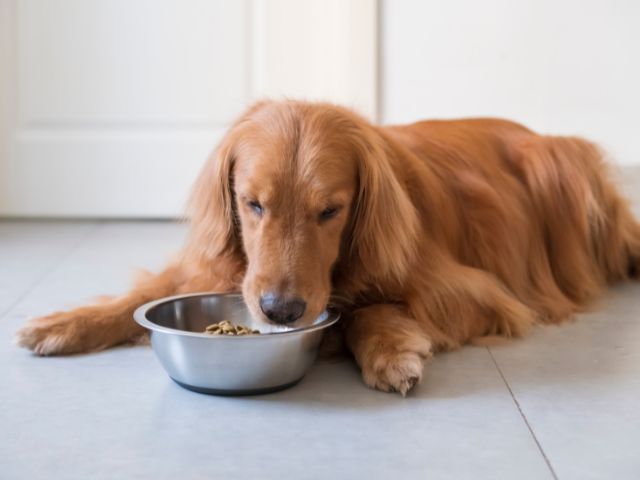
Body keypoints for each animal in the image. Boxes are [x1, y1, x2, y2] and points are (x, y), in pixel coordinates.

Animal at [16, 100, 640, 394]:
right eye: (253, 204)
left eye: (330, 211)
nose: (279, 312)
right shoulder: (220, 266)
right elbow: (142, 297)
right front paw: (65, 322)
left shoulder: (475, 293)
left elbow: (361, 311)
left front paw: (389, 352)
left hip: (561, 169)